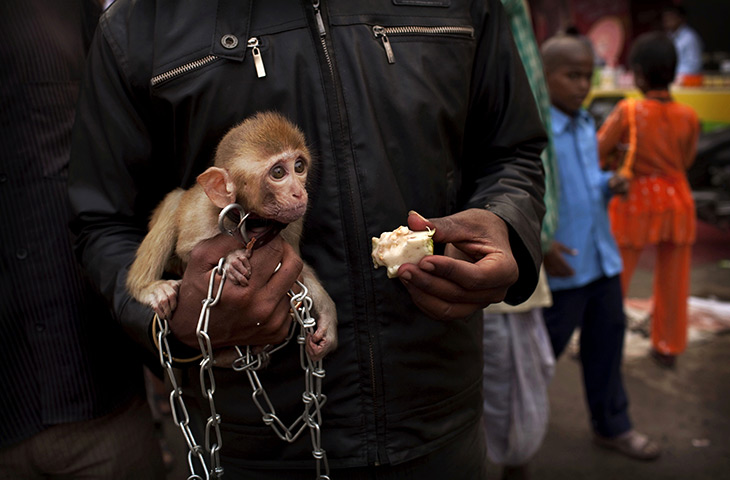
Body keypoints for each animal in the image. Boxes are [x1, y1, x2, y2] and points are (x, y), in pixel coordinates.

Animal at [127, 111, 336, 360]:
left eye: (299, 166)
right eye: (278, 173)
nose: (299, 193)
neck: (250, 221)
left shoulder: (292, 224)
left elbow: (300, 268)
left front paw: (327, 319)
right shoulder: (202, 215)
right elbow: (185, 251)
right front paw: (231, 261)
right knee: (174, 202)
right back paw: (146, 287)